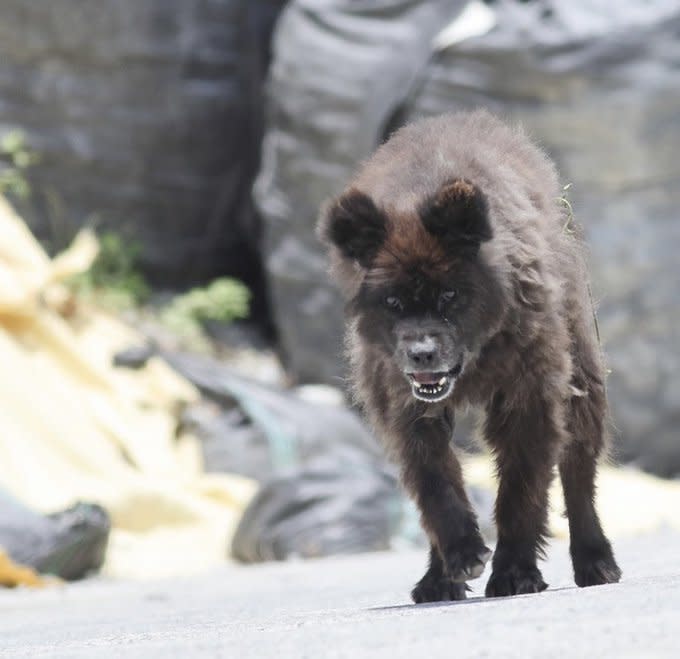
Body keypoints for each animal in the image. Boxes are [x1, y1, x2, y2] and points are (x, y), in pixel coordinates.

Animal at [318, 109, 620, 604]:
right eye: (393, 302)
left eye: (449, 295)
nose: (422, 354)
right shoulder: (403, 404)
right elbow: (434, 482)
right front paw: (459, 556)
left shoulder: (528, 395)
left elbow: (521, 489)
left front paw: (514, 572)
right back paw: (437, 579)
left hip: (582, 373)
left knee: (579, 473)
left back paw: (596, 560)